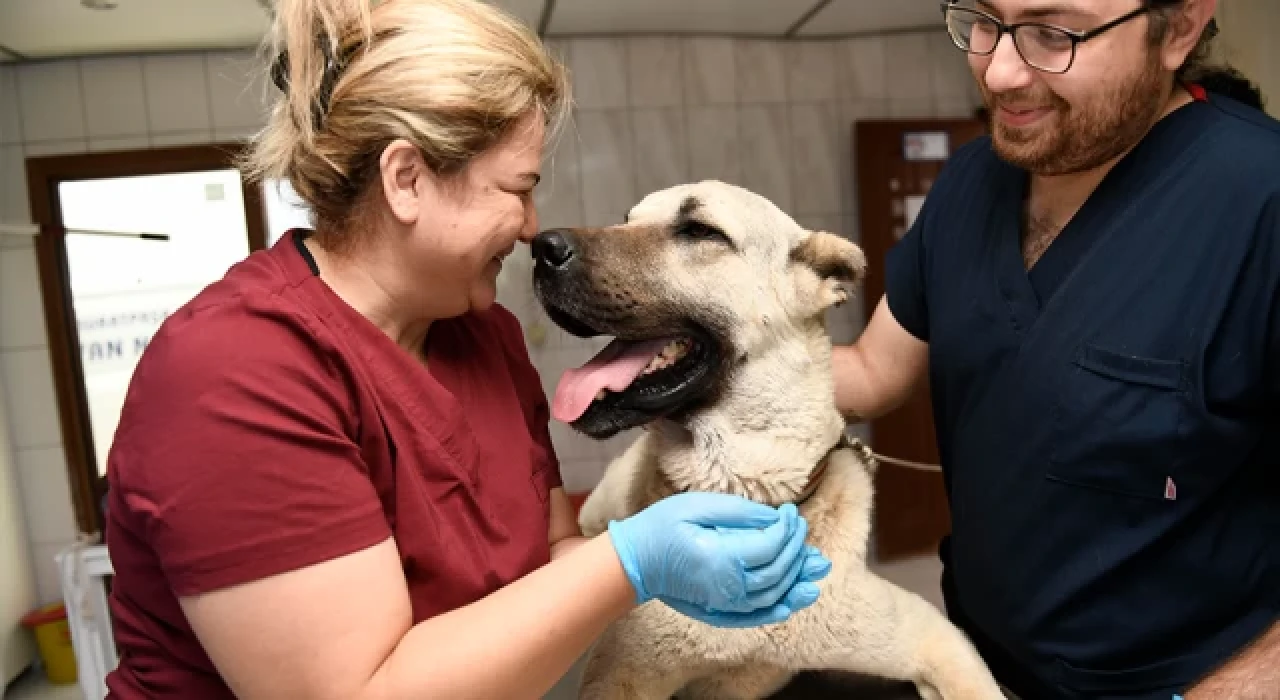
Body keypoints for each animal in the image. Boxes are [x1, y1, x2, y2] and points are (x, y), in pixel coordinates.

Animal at [527, 181, 998, 700]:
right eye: (627, 220)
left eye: (700, 231)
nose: (541, 247)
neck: (743, 490)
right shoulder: (619, 675)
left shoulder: (933, 636)